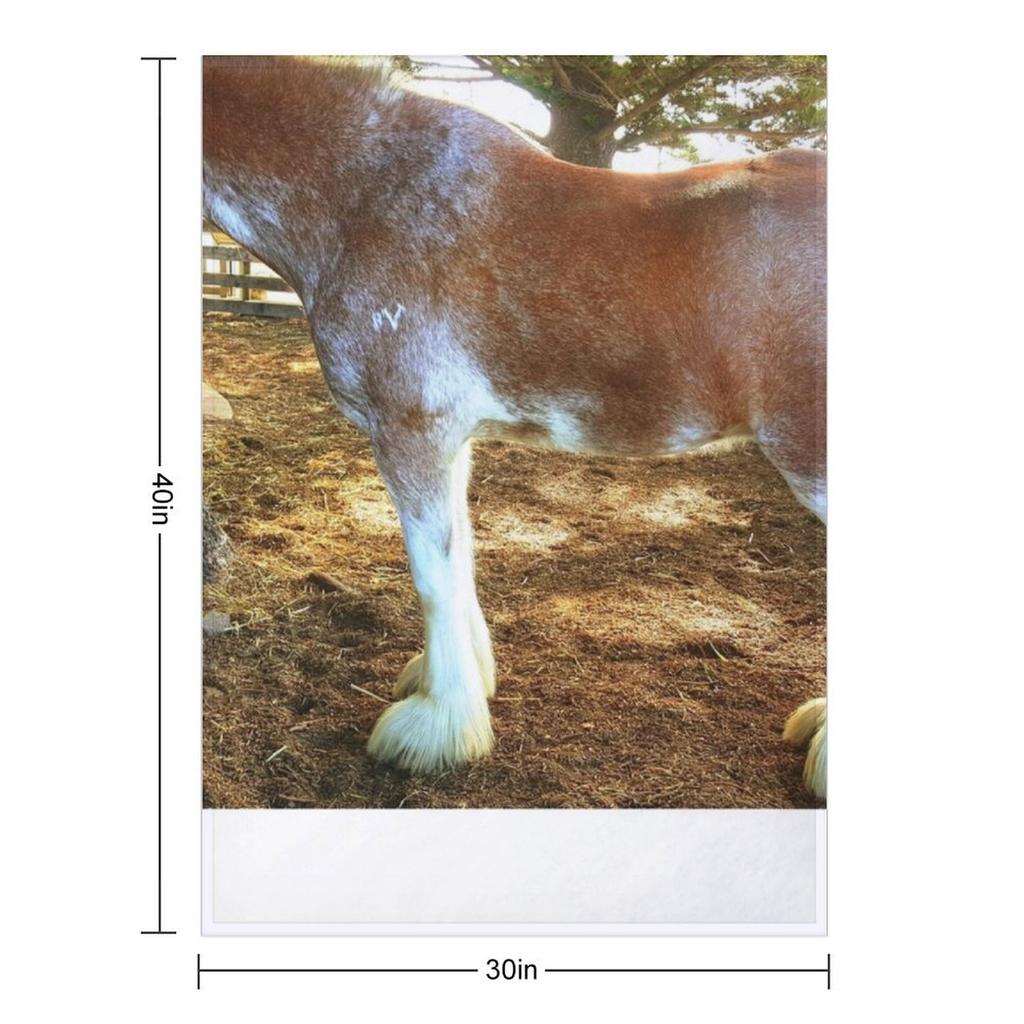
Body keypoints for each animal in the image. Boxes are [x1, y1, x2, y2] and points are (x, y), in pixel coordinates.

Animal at [203, 56, 827, 799]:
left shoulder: (409, 430)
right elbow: (461, 558)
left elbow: (430, 575)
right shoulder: (451, 439)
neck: (363, 193)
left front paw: (436, 727)